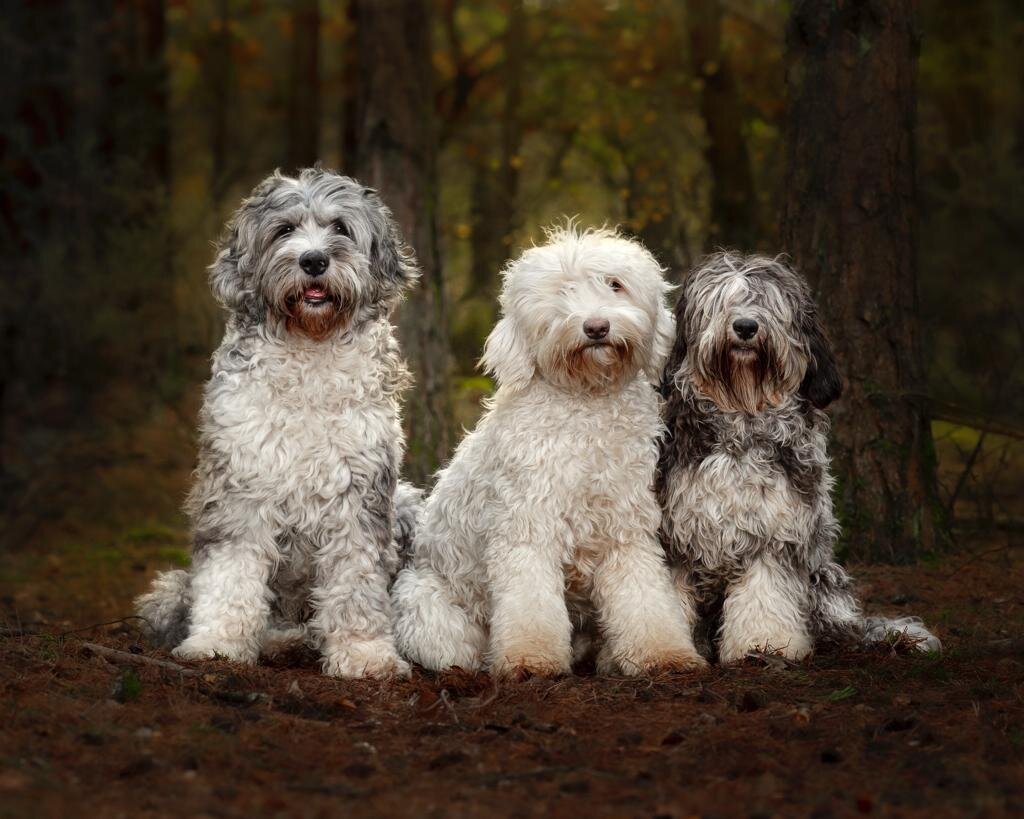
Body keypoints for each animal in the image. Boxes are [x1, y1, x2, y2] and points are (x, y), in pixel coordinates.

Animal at [135, 165, 419, 679]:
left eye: (340, 227)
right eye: (284, 230)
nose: (313, 261)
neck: (309, 349)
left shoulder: (360, 491)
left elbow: (357, 580)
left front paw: (365, 654)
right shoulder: (240, 487)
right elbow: (231, 572)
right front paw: (217, 643)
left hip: (404, 501)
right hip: (172, 592)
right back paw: (281, 640)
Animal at [387, 224, 708, 679]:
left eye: (615, 284)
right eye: (562, 290)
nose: (596, 327)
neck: (586, 406)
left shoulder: (626, 531)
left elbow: (645, 600)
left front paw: (664, 654)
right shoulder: (527, 530)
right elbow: (530, 606)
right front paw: (530, 659)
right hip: (428, 606)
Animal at [659, 252, 937, 663]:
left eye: (769, 302)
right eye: (721, 301)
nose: (745, 326)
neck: (744, 415)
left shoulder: (776, 531)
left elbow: (765, 593)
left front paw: (761, 643)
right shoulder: (677, 532)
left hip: (824, 576)